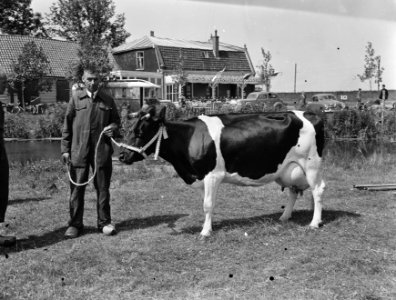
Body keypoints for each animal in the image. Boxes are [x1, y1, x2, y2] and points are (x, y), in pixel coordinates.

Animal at [119, 104, 326, 238]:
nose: (121, 155)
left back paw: (314, 223)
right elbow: (206, 204)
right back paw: (284, 217)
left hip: (311, 165)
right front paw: (209, 225)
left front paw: (205, 232)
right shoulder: (201, 176)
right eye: (130, 129)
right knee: (293, 191)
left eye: (140, 132)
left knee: (318, 190)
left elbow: (207, 204)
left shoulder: (212, 175)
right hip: (289, 168)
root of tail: (310, 113)